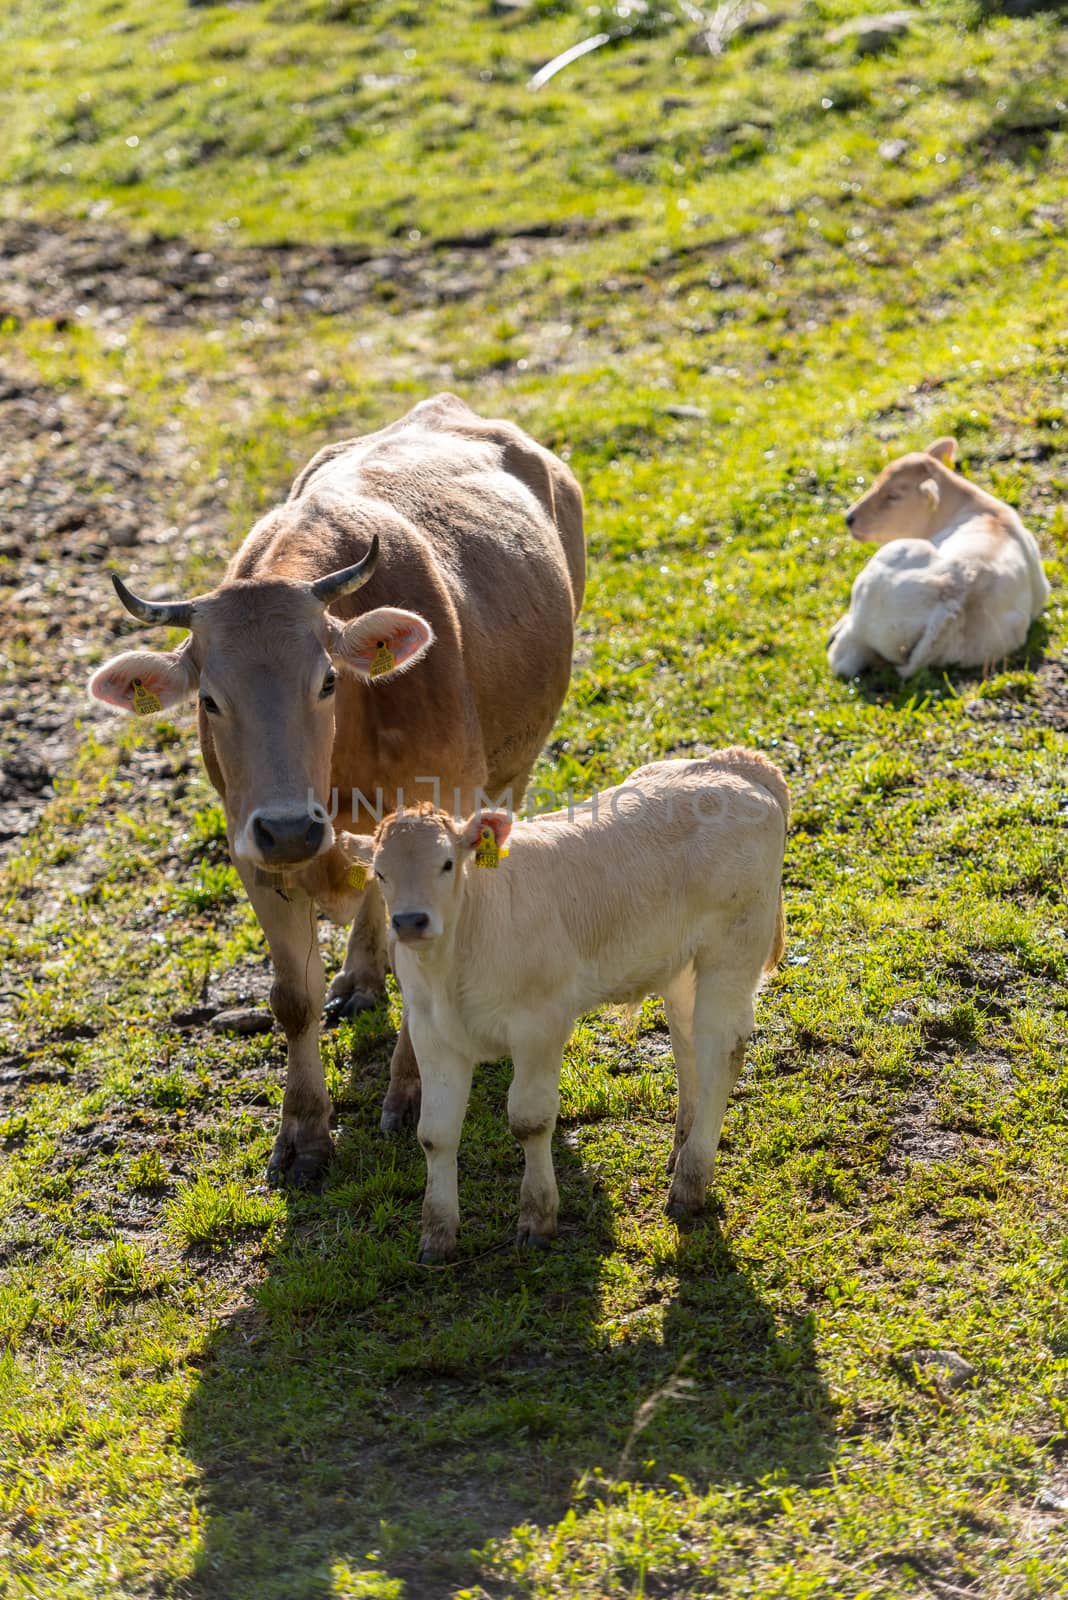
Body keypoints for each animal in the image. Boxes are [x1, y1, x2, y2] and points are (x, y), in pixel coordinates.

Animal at [89, 393, 585, 1184]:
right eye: (209, 699)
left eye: (327, 680)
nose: (292, 826)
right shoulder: (251, 850)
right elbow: (293, 999)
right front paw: (302, 1134)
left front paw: (411, 1095)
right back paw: (358, 972)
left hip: (514, 766)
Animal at [346, 748, 789, 1260]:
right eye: (380, 873)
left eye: (446, 863)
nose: (410, 921)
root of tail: (734, 763)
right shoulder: (431, 1032)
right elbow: (435, 1134)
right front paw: (437, 1236)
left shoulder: (539, 1024)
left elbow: (530, 1121)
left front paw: (538, 1218)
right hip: (681, 966)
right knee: (687, 1046)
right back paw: (681, 1151)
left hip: (732, 950)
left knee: (722, 1054)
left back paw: (689, 1183)